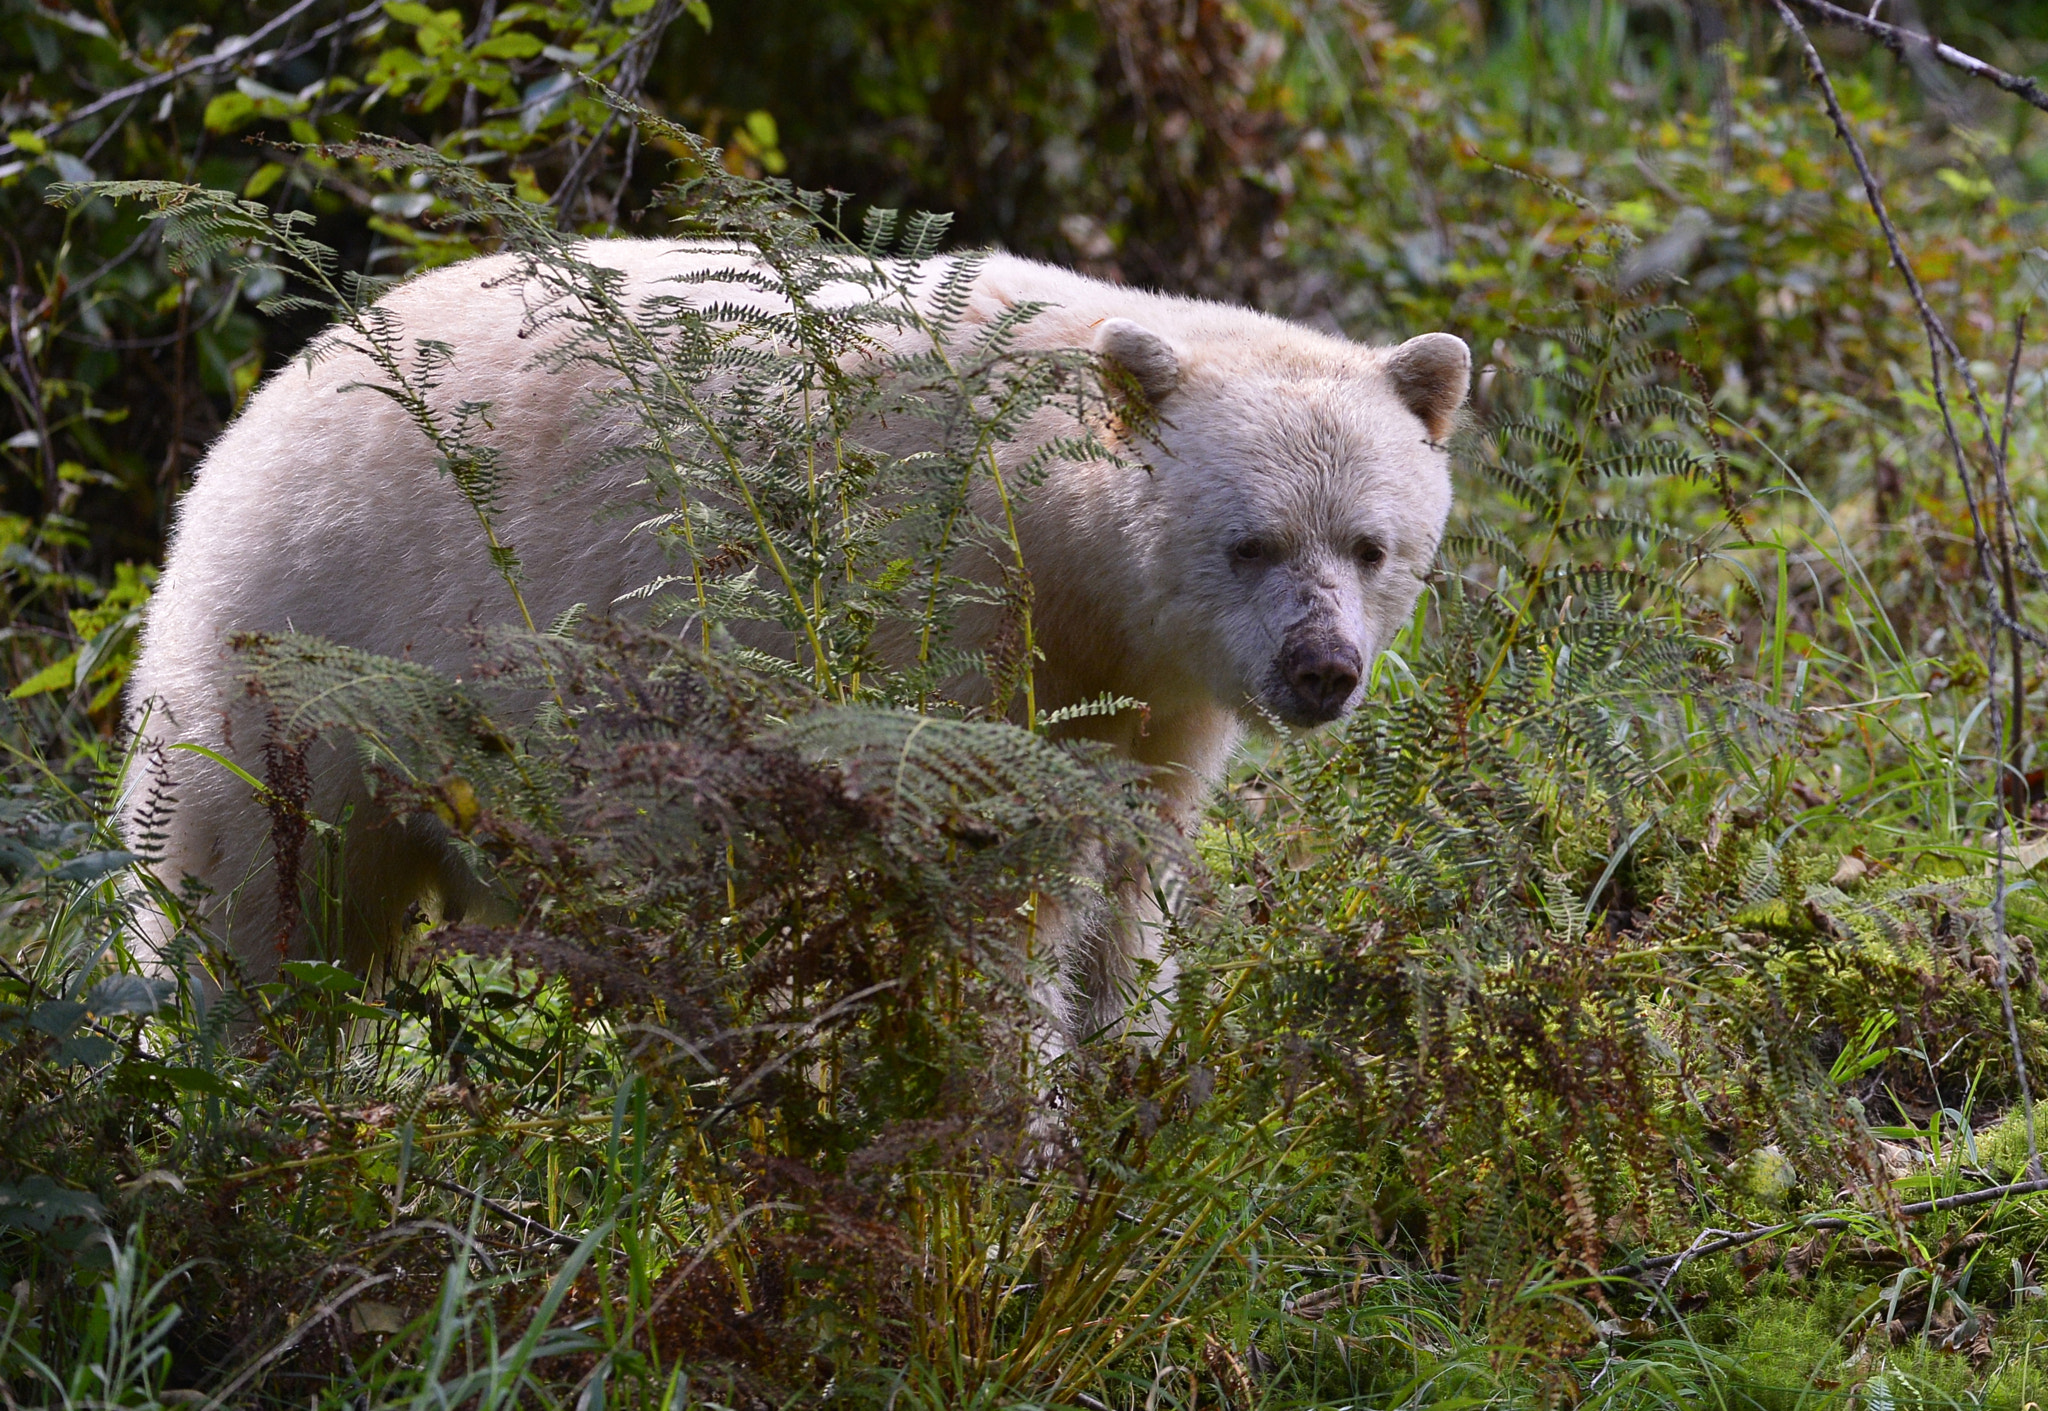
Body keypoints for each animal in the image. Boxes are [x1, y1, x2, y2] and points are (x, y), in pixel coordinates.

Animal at [119, 239, 1466, 1036]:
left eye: (1368, 544)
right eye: (1247, 541)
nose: (1320, 670)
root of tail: (255, 409)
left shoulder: (1152, 709)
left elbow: (1131, 906)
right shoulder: (951, 628)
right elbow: (992, 911)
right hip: (312, 659)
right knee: (252, 914)